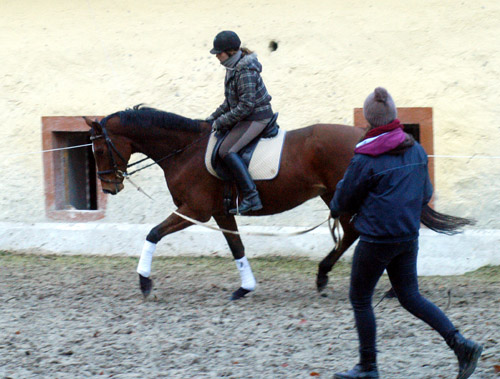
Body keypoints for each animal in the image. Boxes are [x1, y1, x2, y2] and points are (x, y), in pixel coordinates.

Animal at [84, 106, 470, 300]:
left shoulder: (196, 211)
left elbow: (152, 234)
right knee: (354, 232)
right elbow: (237, 247)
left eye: (99, 148)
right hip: (335, 194)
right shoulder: (221, 212)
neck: (185, 150)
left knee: (362, 231)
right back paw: (337, 278)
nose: (109, 186)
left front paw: (144, 283)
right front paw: (245, 287)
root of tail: (366, 135)